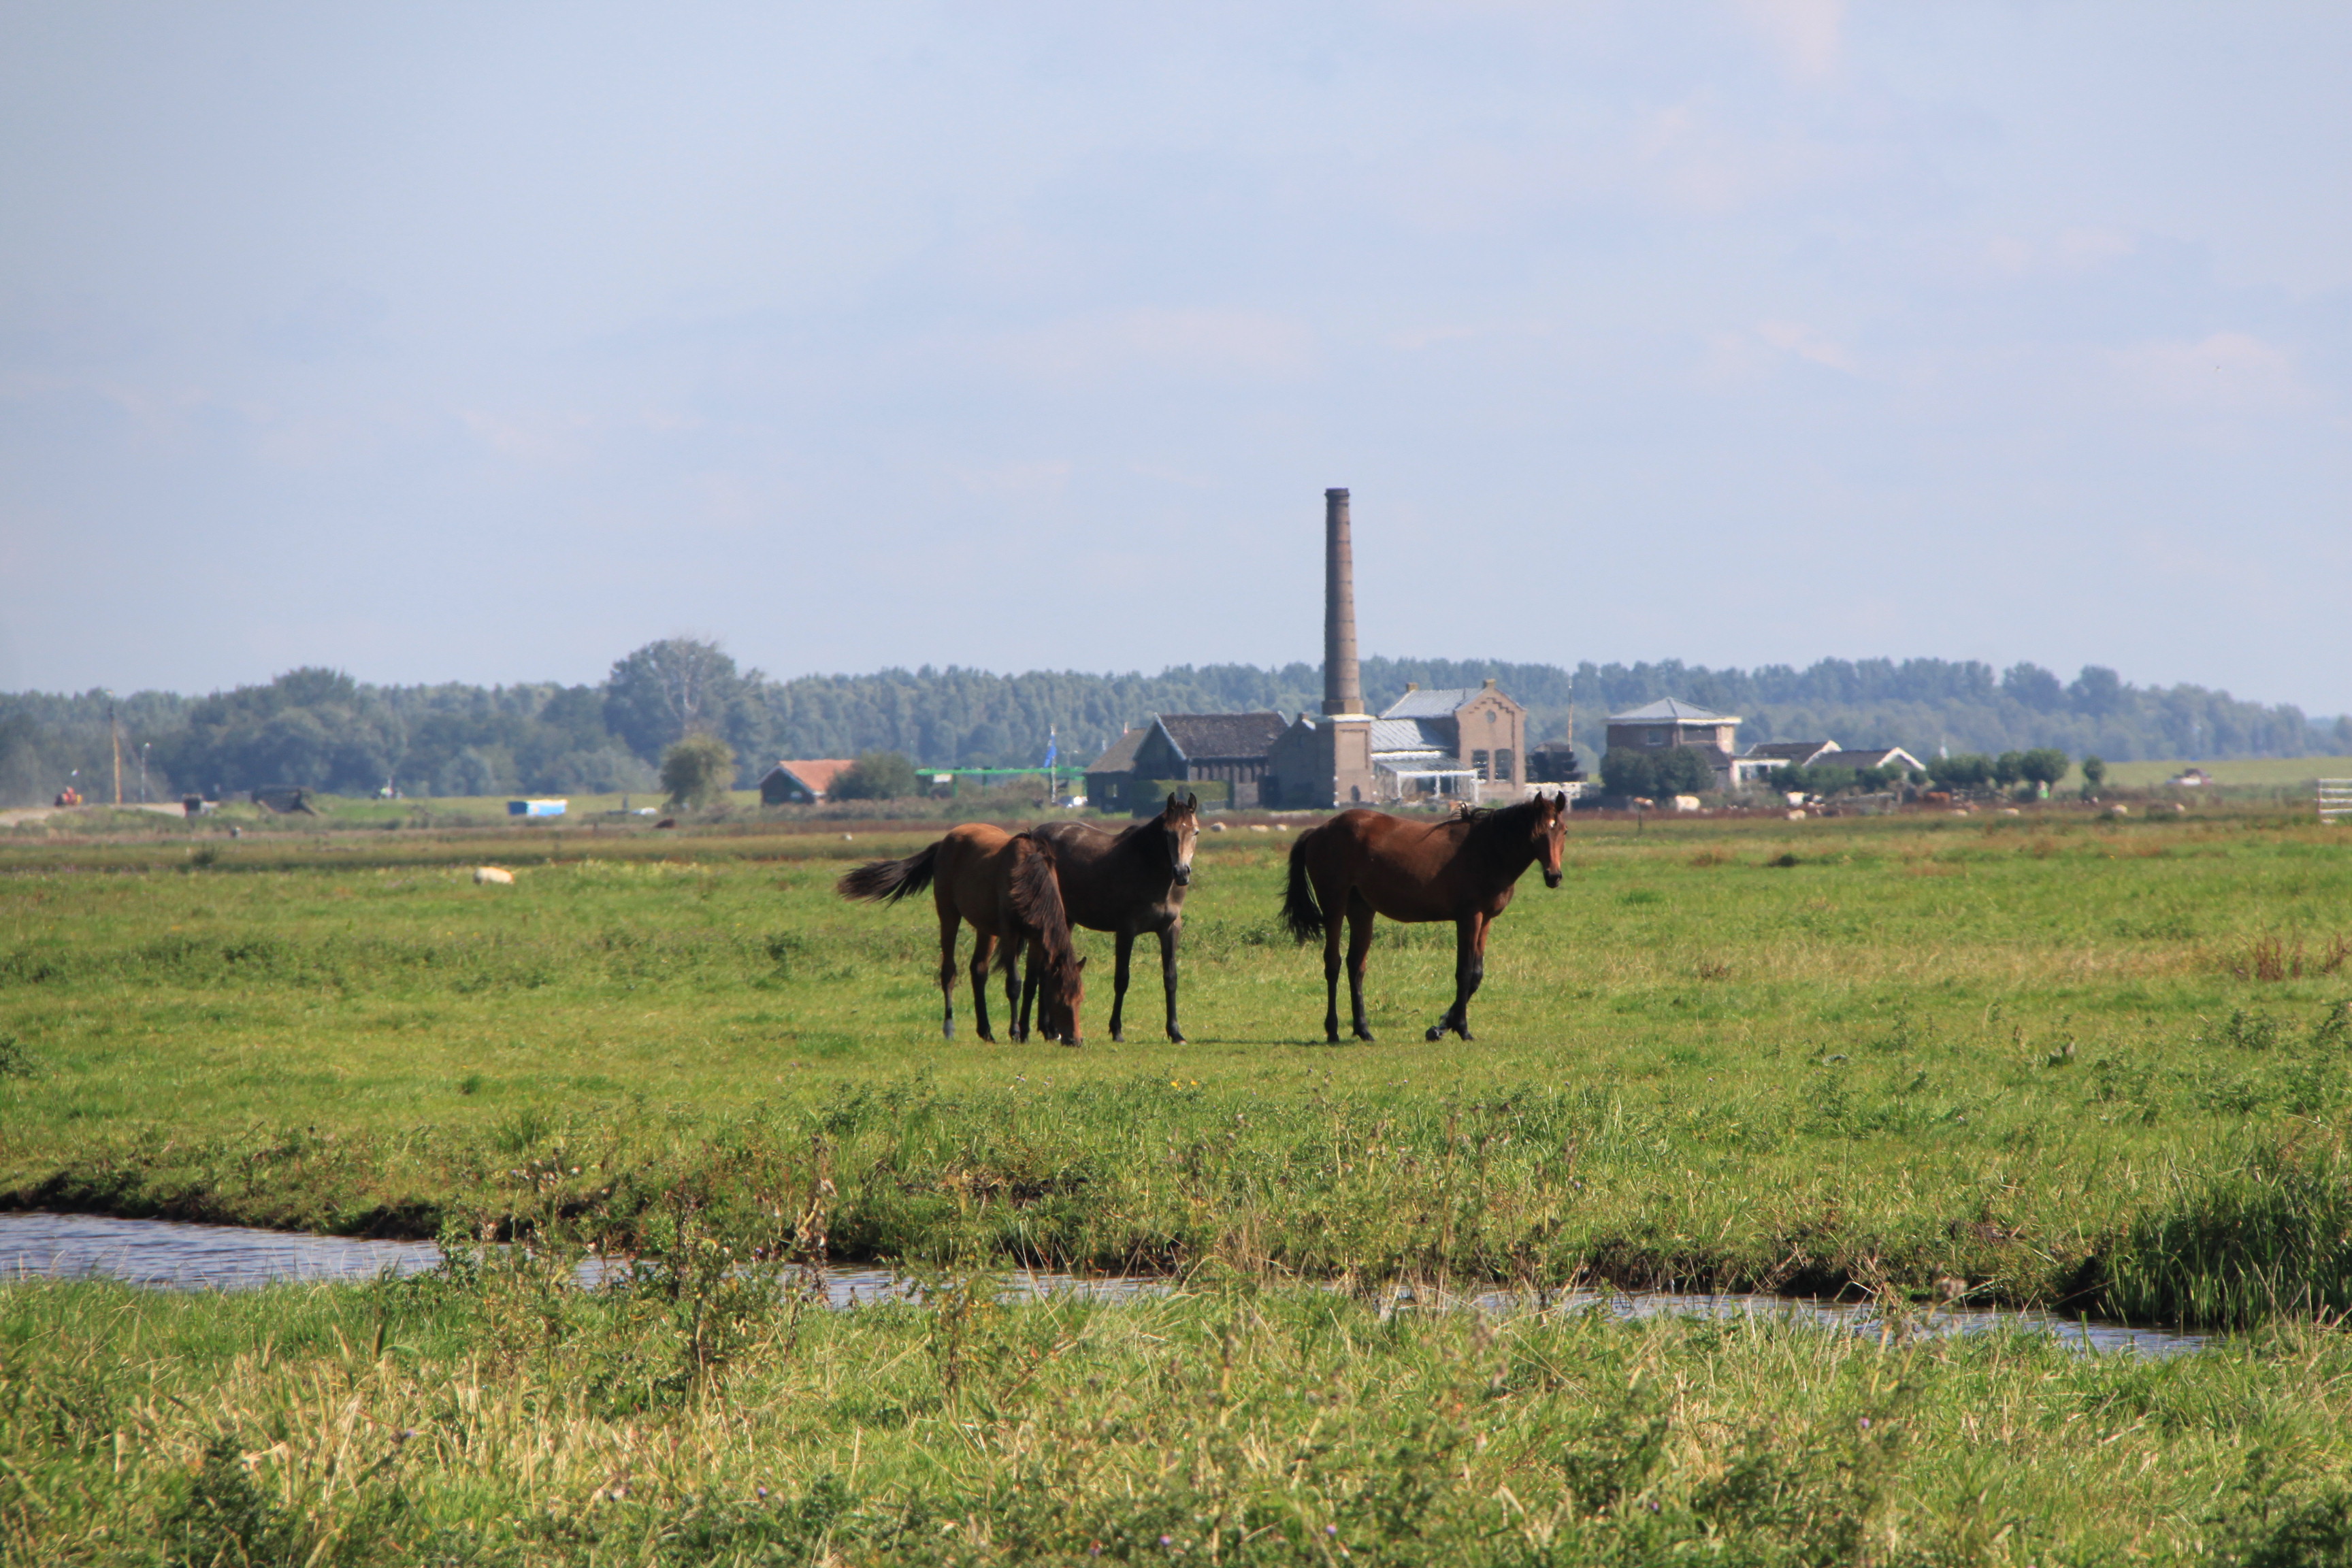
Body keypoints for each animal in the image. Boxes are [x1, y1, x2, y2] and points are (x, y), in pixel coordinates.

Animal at [836, 824, 1085, 1045]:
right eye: (1060, 1001)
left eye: (1080, 999)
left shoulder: (1036, 937)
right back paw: (949, 1028)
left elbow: (1033, 984)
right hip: (948, 914)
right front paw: (1015, 1032)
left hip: (985, 928)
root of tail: (945, 841)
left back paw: (986, 1031)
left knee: (979, 970)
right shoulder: (1010, 933)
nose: (1076, 1040)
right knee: (949, 971)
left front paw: (1024, 1033)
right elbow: (1014, 984)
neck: (1029, 875)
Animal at [1018, 792, 1200, 1043]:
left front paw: (1175, 1032)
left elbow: (1170, 978)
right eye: (1167, 833)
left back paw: (1050, 1030)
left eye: (1195, 832)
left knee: (1047, 972)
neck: (1148, 866)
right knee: (1034, 974)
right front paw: (1117, 1030)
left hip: (1065, 920)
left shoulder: (1170, 929)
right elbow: (1122, 979)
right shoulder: (1126, 931)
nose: (1182, 872)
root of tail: (1035, 835)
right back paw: (1025, 1031)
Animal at [1280, 792, 1569, 1043]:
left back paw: (1363, 1030)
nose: (1553, 876)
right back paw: (1333, 1031)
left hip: (1361, 909)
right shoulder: (1469, 917)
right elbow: (1464, 972)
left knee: (1356, 966)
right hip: (1334, 905)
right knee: (1334, 963)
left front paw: (1441, 1026)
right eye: (1537, 832)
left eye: (1564, 831)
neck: (1487, 850)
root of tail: (1319, 830)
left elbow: (1476, 974)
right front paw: (1459, 1028)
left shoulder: (1486, 919)